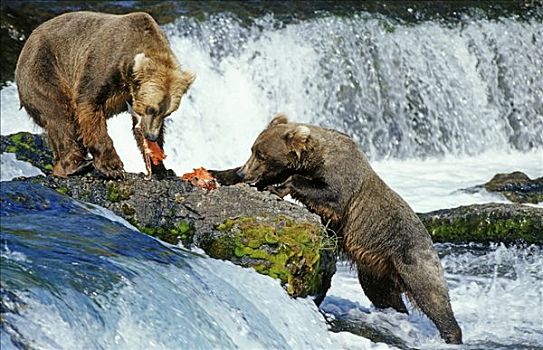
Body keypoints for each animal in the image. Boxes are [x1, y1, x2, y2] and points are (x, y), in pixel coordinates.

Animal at [15, 11, 196, 178]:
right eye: (150, 108)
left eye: (168, 113)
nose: (151, 135)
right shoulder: (104, 64)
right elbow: (89, 106)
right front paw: (112, 167)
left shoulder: (132, 96)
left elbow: (138, 128)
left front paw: (161, 166)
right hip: (43, 71)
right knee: (59, 116)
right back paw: (76, 165)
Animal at [225, 115, 464, 344]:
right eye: (253, 149)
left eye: (261, 154)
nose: (243, 173)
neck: (312, 159)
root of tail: (429, 239)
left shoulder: (340, 177)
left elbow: (330, 194)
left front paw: (278, 188)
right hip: (376, 269)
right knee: (382, 294)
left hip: (413, 257)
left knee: (432, 295)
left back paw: (452, 334)